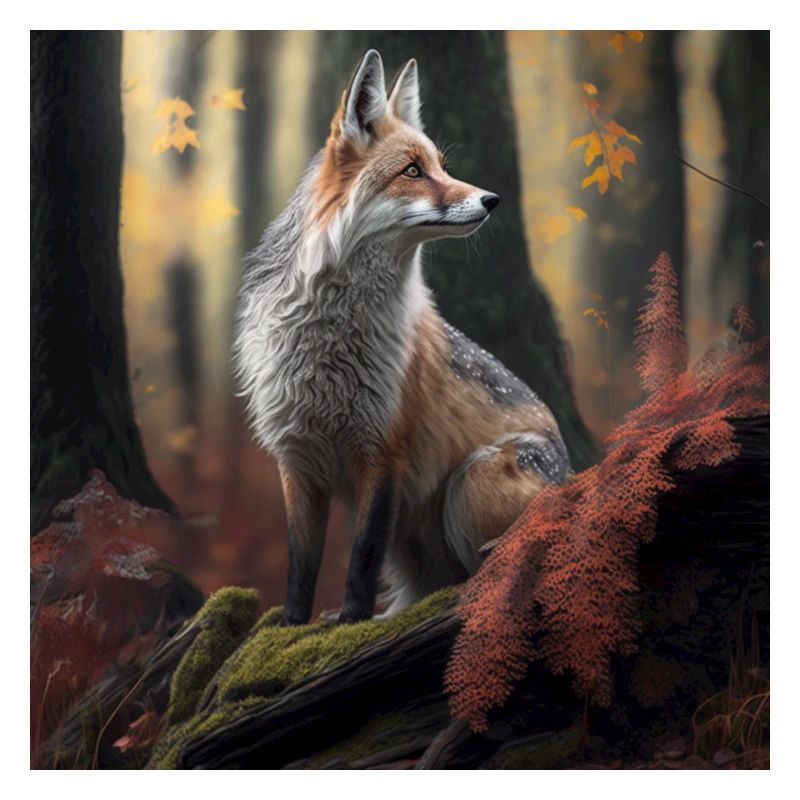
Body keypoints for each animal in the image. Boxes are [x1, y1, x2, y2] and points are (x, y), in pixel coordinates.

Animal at [234, 50, 570, 625]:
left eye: (441, 165)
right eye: (413, 171)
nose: (493, 198)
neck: (330, 345)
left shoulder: (383, 449)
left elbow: (363, 555)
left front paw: (348, 621)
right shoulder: (295, 454)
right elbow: (302, 561)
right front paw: (293, 625)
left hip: (471, 479)